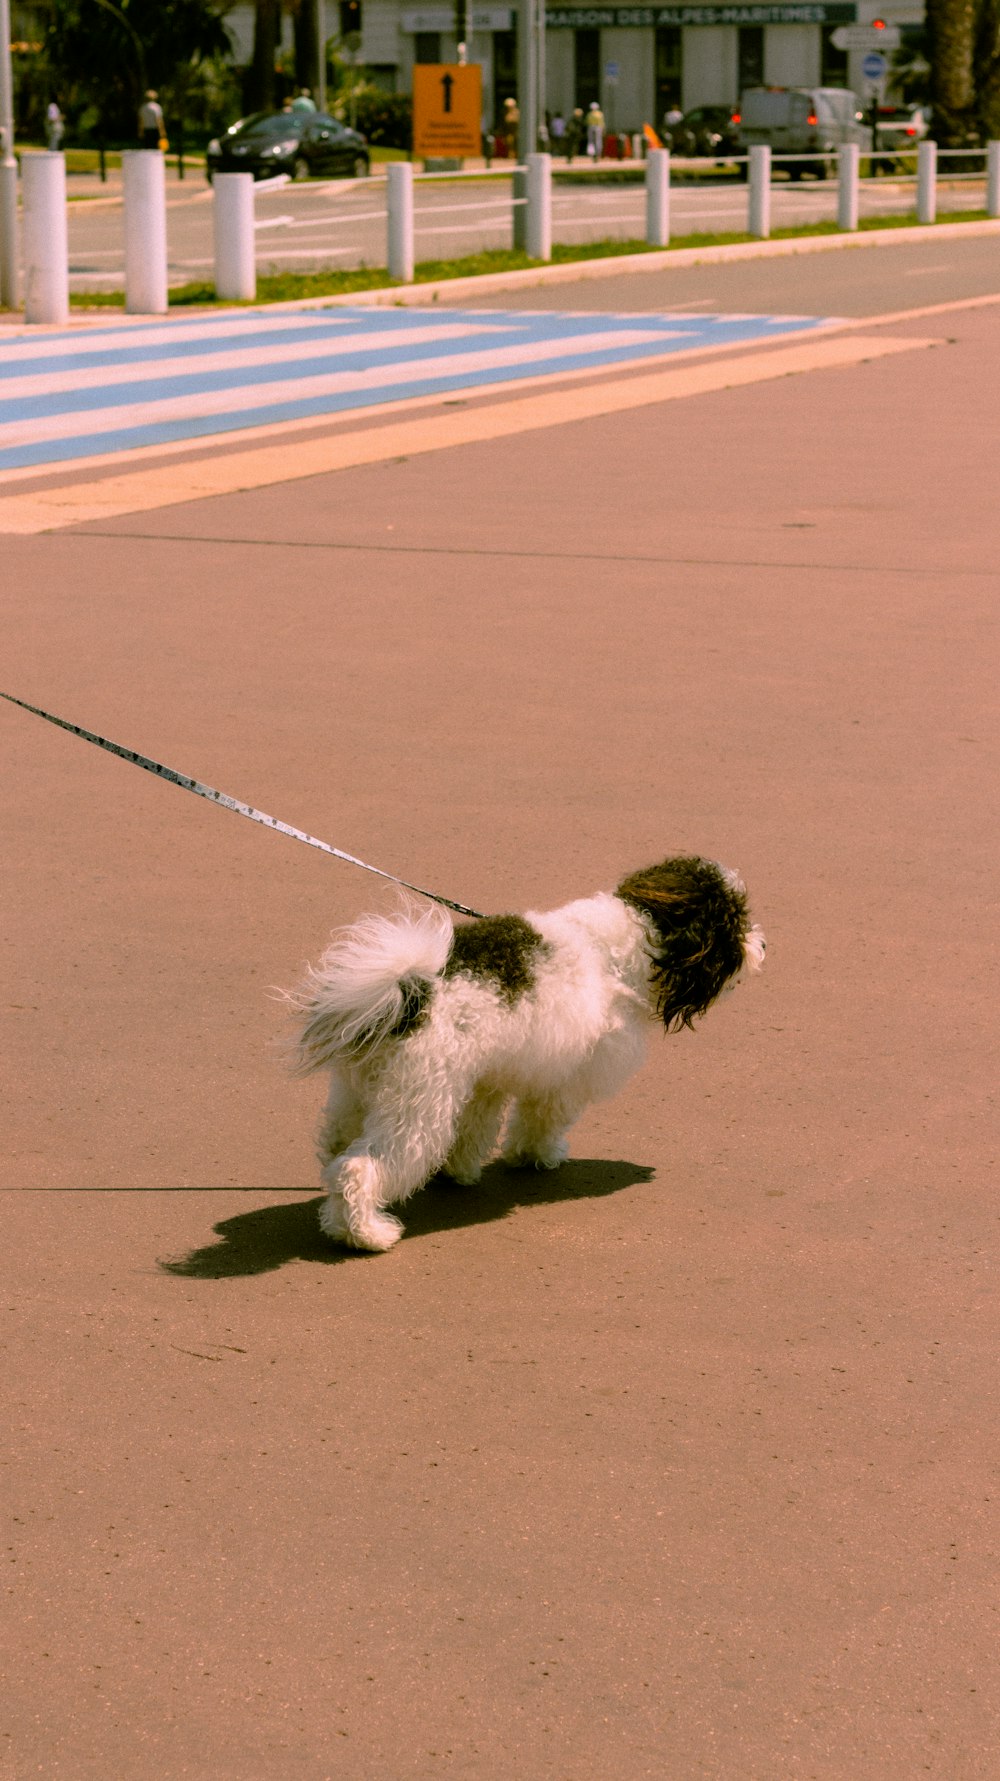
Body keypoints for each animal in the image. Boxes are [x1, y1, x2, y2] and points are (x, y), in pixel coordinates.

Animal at [288, 851, 762, 1246]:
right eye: (735, 921)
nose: (763, 945)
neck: (618, 948)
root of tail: (409, 990)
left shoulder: (485, 1077)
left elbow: (474, 1128)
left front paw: (459, 1170)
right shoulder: (563, 1074)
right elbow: (541, 1118)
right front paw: (537, 1155)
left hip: (360, 1091)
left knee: (335, 1152)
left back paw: (338, 1223)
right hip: (417, 1104)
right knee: (360, 1167)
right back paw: (368, 1235)